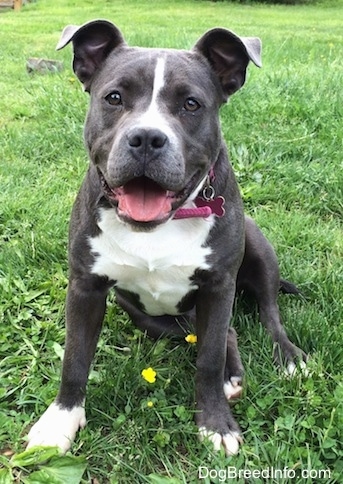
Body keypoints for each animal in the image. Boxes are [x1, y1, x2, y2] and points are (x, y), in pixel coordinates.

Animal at [25, 20, 308, 456]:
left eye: (191, 104)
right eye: (114, 97)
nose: (146, 138)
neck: (160, 224)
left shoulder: (218, 288)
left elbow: (208, 360)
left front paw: (215, 424)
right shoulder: (85, 288)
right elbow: (74, 358)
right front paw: (60, 422)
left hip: (257, 248)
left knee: (266, 313)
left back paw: (286, 356)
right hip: (153, 319)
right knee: (223, 331)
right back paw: (233, 377)